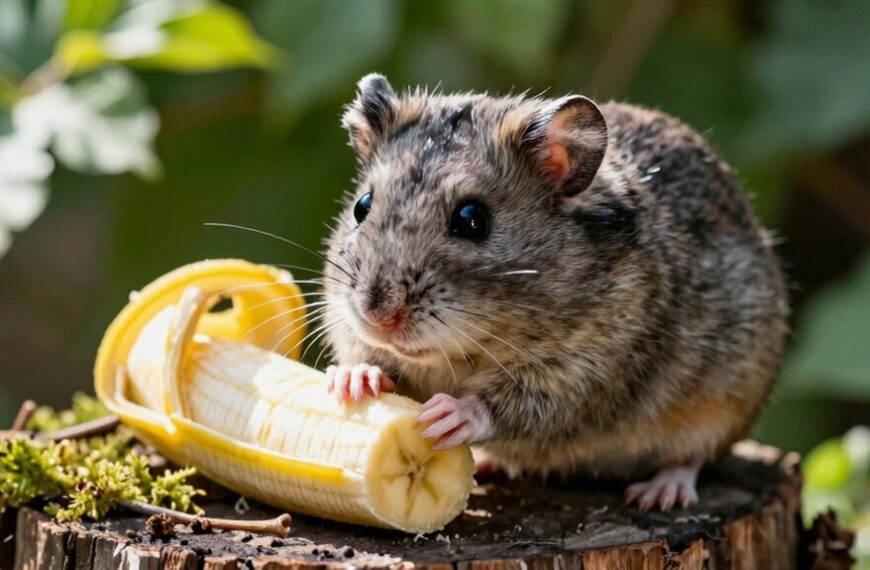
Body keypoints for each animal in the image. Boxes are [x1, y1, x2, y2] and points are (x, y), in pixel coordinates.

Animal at [320, 73, 789, 511]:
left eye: (472, 219)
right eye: (362, 206)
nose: (378, 317)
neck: (461, 354)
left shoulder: (587, 373)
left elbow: (515, 405)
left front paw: (449, 415)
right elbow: (363, 355)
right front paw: (354, 380)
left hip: (724, 406)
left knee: (694, 457)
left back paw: (660, 493)